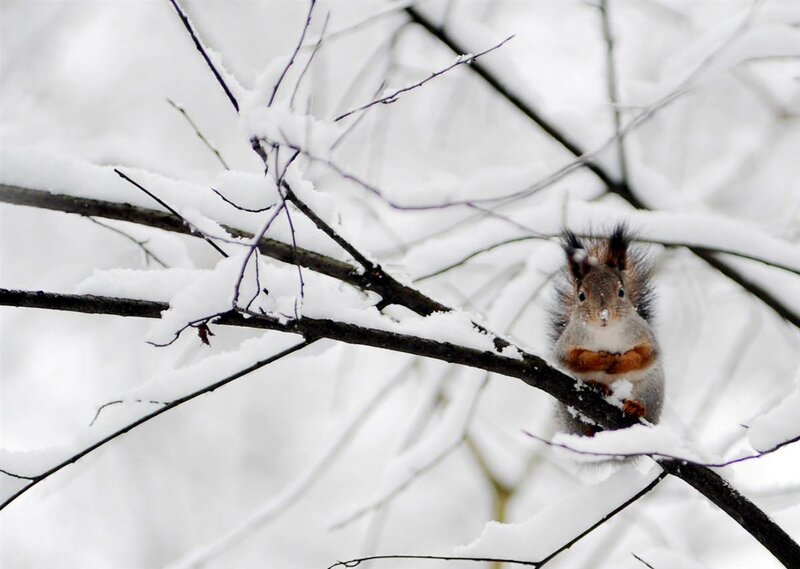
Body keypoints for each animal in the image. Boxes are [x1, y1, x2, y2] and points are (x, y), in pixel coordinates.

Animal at [549, 224, 664, 437]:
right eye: (581, 295)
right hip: (569, 411)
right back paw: (598, 388)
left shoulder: (644, 335)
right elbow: (570, 358)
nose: (604, 315)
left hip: (651, 389)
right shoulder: (569, 341)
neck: (606, 333)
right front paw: (600, 359)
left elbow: (646, 354)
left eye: (621, 292)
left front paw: (622, 362)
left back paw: (635, 406)